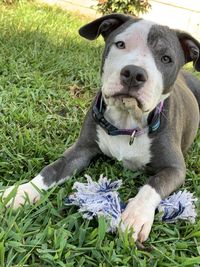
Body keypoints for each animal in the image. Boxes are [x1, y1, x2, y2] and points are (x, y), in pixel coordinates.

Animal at [1, 14, 200, 243]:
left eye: (166, 58)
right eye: (120, 44)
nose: (134, 73)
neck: (127, 123)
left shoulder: (175, 168)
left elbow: (154, 184)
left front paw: (136, 215)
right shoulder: (80, 150)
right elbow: (51, 170)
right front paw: (22, 192)